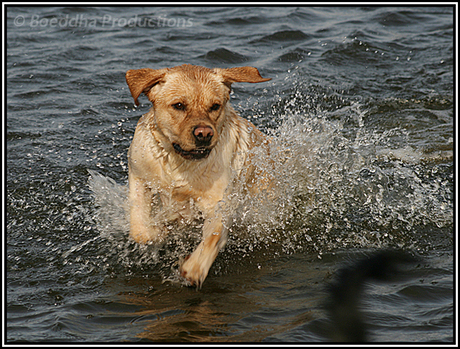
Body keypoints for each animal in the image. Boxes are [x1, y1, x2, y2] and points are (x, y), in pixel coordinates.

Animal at [124, 64, 272, 286]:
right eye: (178, 105)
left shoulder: (219, 203)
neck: (180, 165)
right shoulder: (139, 175)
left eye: (215, 106)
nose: (204, 134)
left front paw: (194, 268)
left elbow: (213, 236)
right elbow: (140, 230)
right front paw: (159, 231)